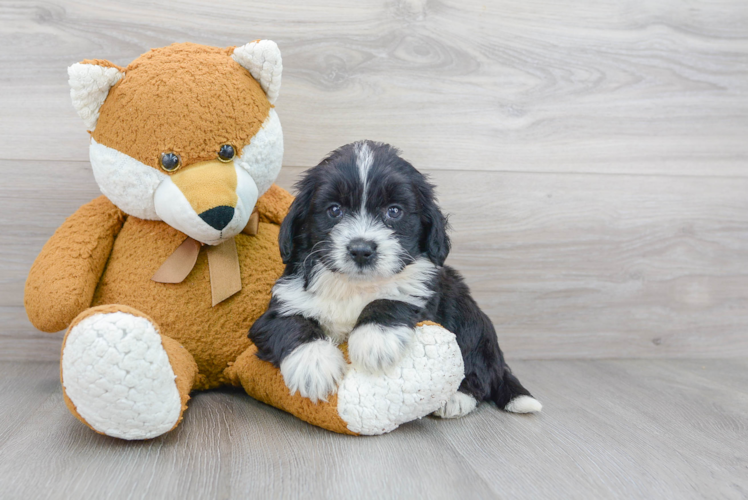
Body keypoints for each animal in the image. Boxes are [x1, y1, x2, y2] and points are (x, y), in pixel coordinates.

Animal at [248, 141, 540, 418]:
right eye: (334, 210)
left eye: (394, 211)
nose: (361, 250)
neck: (354, 286)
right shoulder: (283, 302)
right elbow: (290, 324)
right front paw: (315, 365)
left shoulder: (422, 292)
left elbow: (393, 299)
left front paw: (374, 340)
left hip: (470, 319)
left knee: (479, 371)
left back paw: (457, 398)